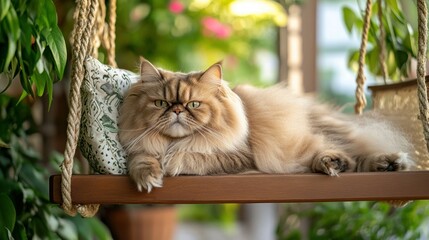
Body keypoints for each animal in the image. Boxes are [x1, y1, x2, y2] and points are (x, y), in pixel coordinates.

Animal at [118, 57, 412, 191]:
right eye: (161, 103)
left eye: (193, 105)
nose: (177, 109)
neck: (173, 142)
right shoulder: (138, 150)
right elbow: (140, 161)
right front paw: (149, 177)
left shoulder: (240, 157)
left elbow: (194, 157)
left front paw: (171, 163)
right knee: (346, 161)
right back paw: (332, 163)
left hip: (331, 133)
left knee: (358, 156)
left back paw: (389, 163)